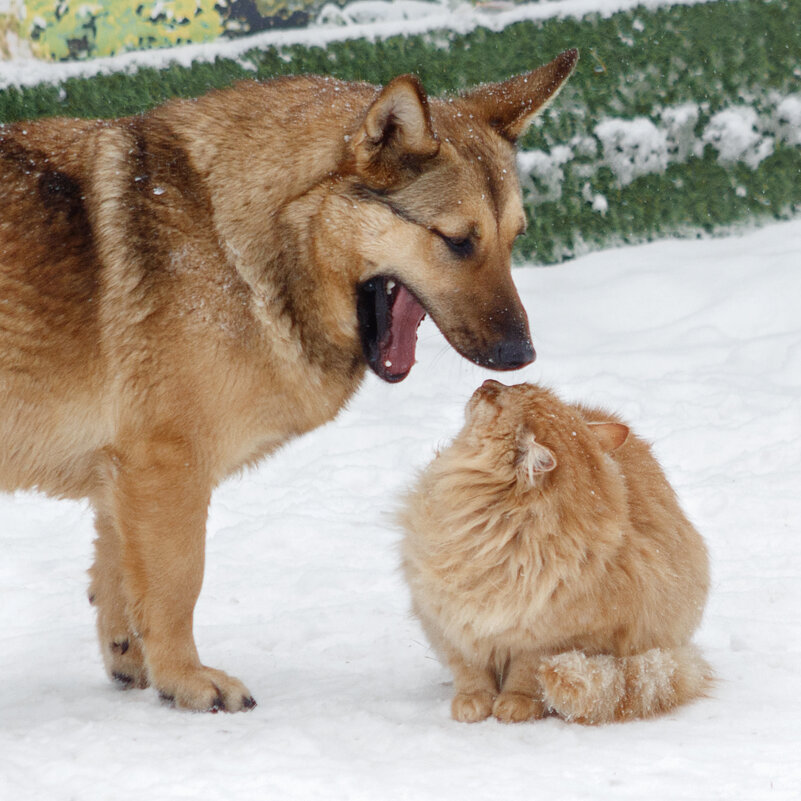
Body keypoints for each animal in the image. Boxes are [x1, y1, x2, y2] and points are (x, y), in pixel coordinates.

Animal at [0, 48, 576, 712]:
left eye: (515, 239)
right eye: (458, 241)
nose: (521, 355)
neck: (236, 238)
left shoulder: (122, 473)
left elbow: (119, 577)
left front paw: (136, 663)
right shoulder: (166, 466)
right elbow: (176, 584)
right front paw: (186, 680)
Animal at [400, 378, 712, 720]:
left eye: (498, 399)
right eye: (517, 384)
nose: (487, 382)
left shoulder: (552, 637)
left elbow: (527, 673)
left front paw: (515, 704)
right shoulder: (448, 617)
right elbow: (470, 670)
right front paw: (473, 702)